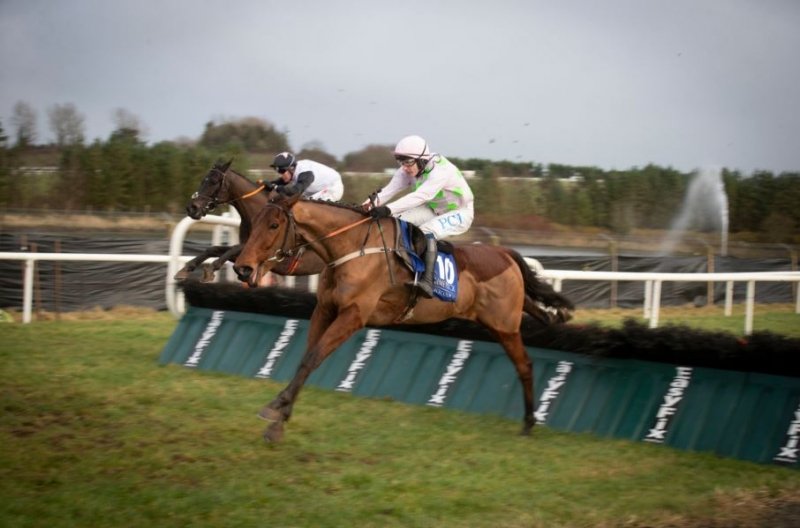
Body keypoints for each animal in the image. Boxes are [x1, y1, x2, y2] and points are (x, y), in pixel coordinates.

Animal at [175, 159, 325, 282]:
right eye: (203, 181)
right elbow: (213, 249)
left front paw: (211, 269)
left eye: (213, 182)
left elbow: (233, 249)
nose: (191, 208)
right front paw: (185, 269)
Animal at [233, 193, 575, 442]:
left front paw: (276, 411)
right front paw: (280, 416)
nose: (243, 268)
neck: (353, 248)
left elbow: (312, 358)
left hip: (504, 326)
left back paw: (529, 423)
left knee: (525, 366)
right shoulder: (325, 309)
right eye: (255, 221)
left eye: (274, 226)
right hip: (504, 318)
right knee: (536, 322)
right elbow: (305, 360)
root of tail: (505, 253)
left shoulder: (353, 315)